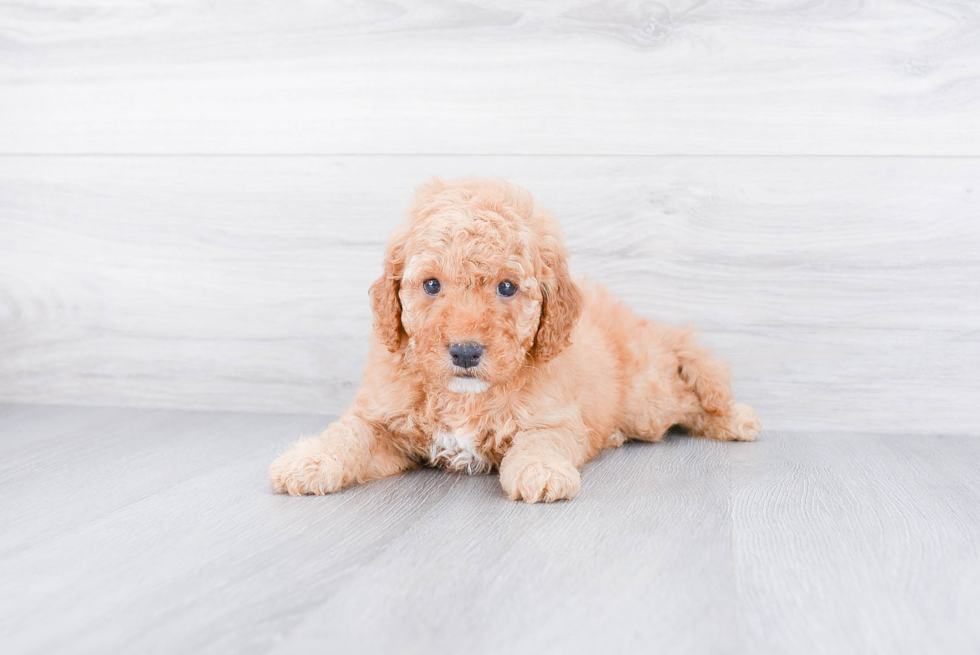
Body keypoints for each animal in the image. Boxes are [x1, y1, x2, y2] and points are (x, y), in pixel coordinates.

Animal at [272, 177, 760, 504]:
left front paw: (540, 471)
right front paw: (309, 460)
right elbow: (349, 435)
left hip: (647, 399)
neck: (463, 397)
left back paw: (737, 419)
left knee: (688, 394)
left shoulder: (552, 418)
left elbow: (540, 442)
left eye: (506, 287)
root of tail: (633, 320)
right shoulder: (381, 420)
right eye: (431, 285)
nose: (465, 351)